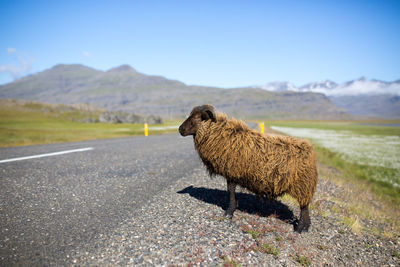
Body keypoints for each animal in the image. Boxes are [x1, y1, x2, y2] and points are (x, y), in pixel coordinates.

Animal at [179, 103, 318, 233]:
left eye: (196, 117)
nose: (180, 129)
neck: (221, 134)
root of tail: (310, 150)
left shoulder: (232, 172)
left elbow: (230, 191)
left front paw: (229, 213)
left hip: (303, 186)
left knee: (304, 208)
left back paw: (299, 229)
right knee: (305, 208)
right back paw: (306, 227)